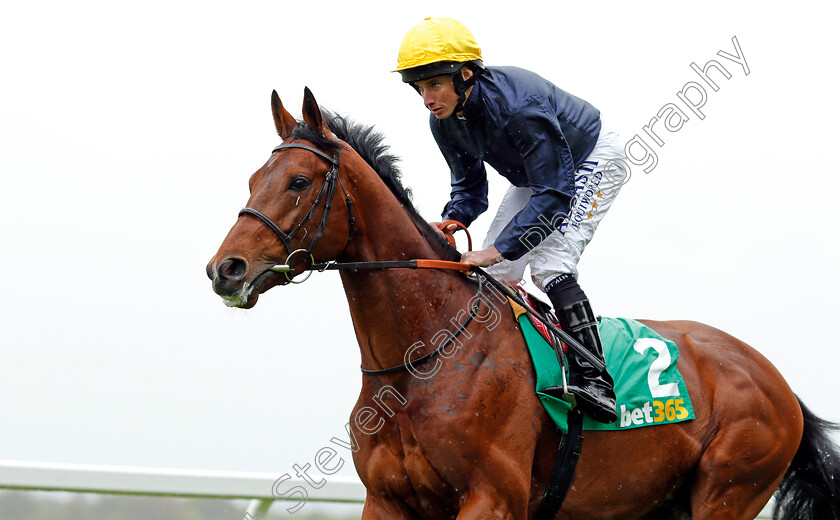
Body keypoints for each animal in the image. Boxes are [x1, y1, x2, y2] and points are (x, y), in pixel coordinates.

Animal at [205, 87, 840, 516]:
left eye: (299, 183)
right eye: (253, 179)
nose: (224, 269)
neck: (422, 360)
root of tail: (779, 382)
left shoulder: (492, 498)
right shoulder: (386, 501)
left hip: (728, 490)